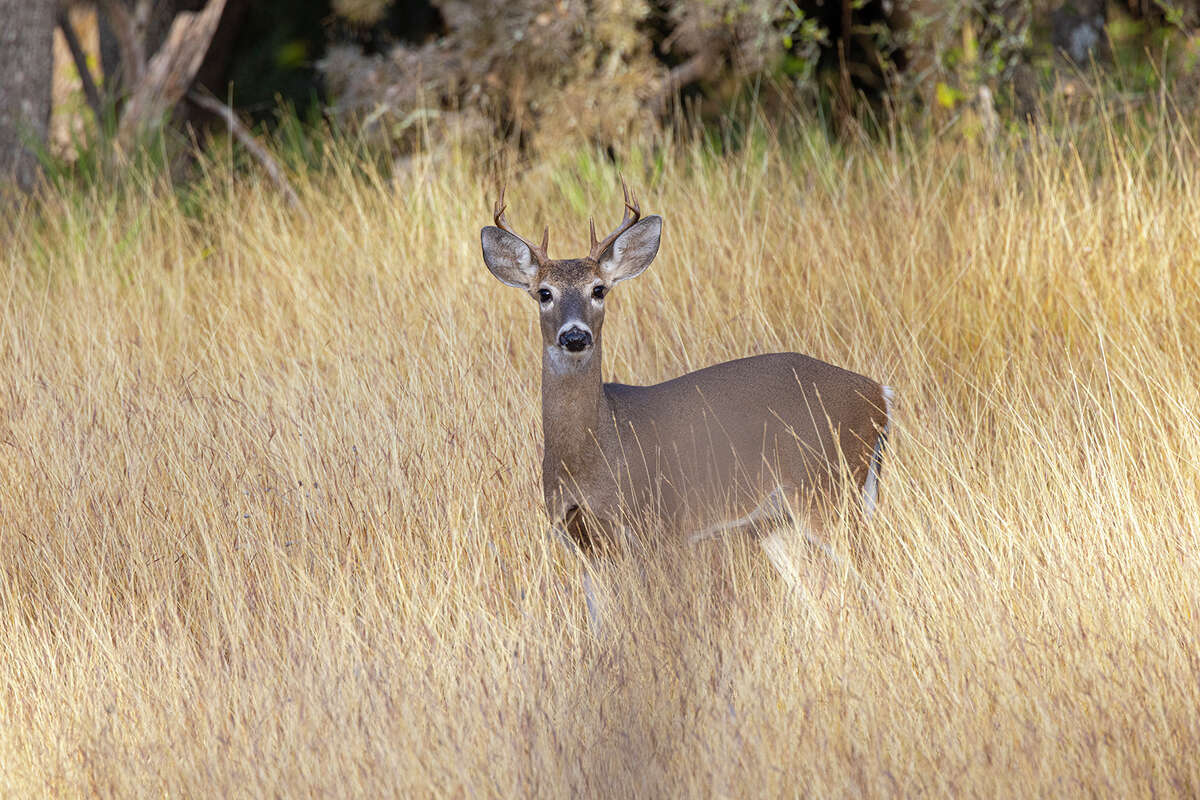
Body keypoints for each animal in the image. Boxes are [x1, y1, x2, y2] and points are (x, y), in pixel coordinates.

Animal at [482, 183, 897, 606]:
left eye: (598, 289)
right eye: (544, 293)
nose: (575, 336)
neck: (598, 446)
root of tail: (879, 394)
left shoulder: (659, 525)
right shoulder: (581, 542)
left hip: (827, 487)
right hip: (778, 520)